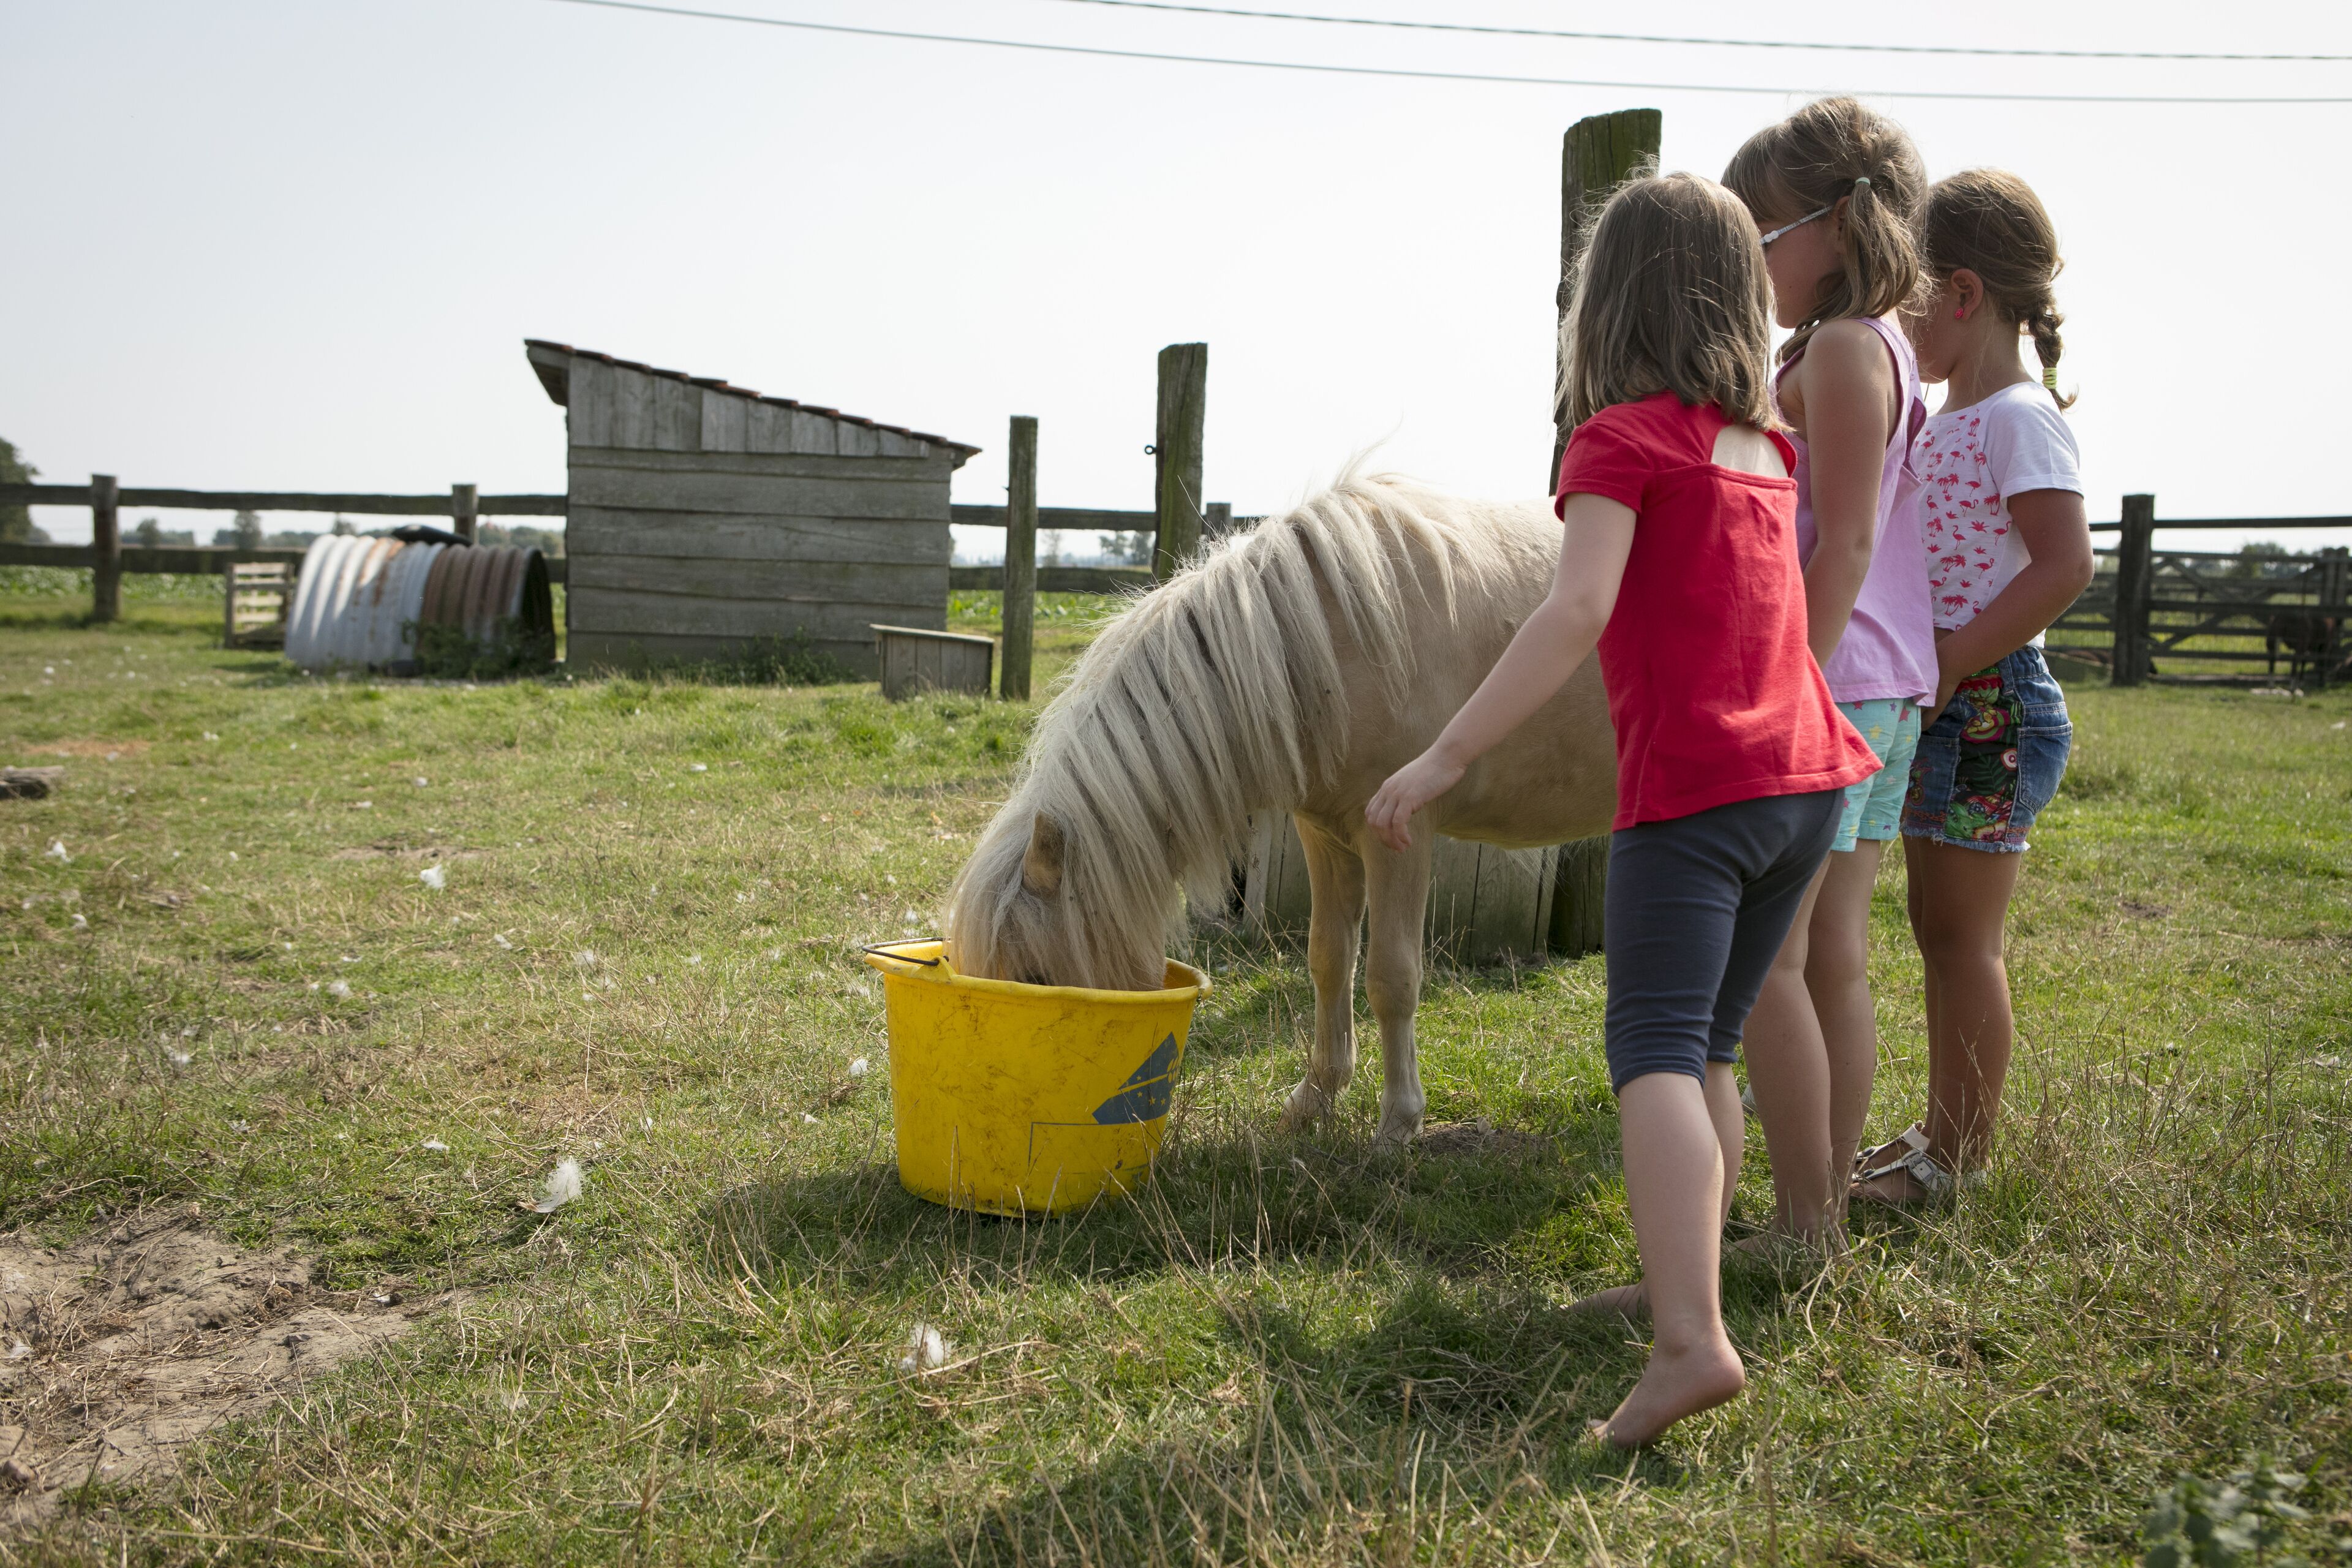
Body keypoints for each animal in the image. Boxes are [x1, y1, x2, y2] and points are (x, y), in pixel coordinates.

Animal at [942, 471, 1617, 1147]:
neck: (1326, 637)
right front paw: (1315, 1098)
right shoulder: (1328, 835)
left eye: (1035, 977)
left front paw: (1398, 1121)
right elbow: (1328, 961)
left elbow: (1391, 977)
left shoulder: (1398, 838)